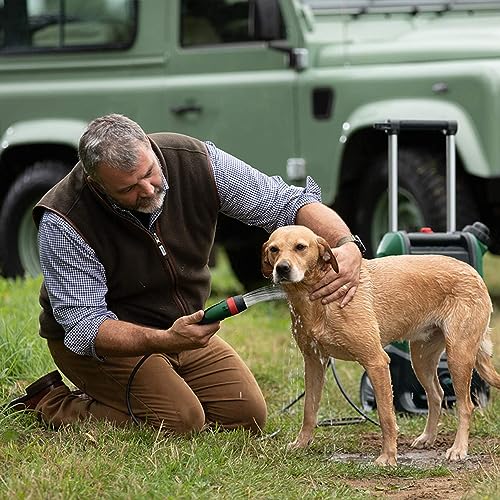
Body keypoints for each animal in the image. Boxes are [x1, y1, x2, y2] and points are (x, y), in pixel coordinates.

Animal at [264, 225, 498, 466]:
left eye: (300, 247)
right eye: (274, 249)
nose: (282, 268)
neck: (316, 300)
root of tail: (475, 274)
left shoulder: (376, 362)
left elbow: (386, 416)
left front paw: (388, 457)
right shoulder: (314, 363)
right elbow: (309, 411)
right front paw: (301, 444)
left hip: (458, 356)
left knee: (465, 405)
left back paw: (459, 448)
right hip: (421, 359)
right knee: (437, 395)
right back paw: (427, 437)